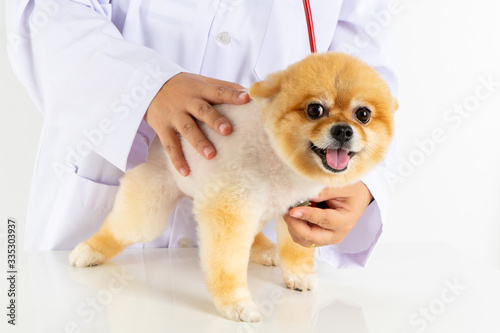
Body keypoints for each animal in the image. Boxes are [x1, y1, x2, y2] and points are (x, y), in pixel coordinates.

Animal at [70, 52, 398, 322]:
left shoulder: (299, 209)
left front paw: (299, 275)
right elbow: (226, 264)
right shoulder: (229, 209)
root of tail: (157, 142)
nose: (343, 130)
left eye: (363, 114)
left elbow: (297, 249)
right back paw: (89, 251)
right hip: (151, 201)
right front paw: (236, 305)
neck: (278, 158)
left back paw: (265, 250)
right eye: (315, 110)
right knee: (126, 228)